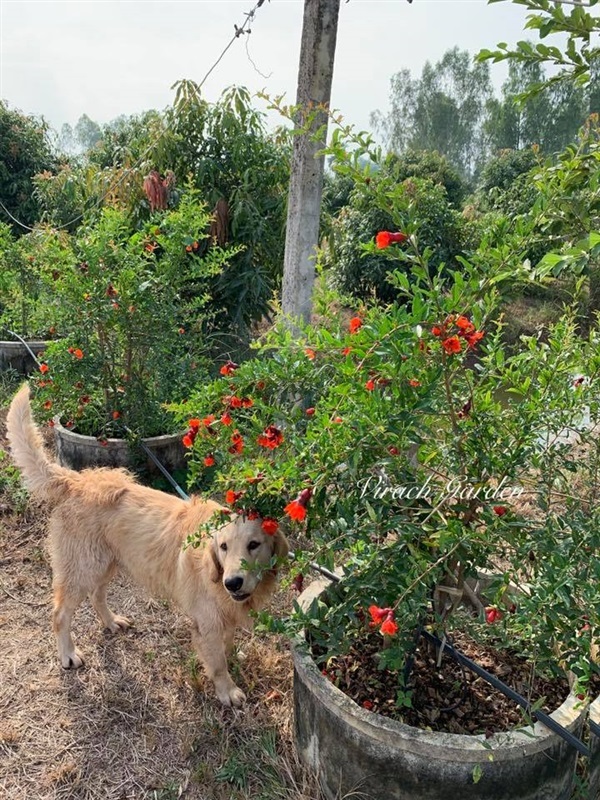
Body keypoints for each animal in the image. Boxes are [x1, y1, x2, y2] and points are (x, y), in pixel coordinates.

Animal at [6, 386, 288, 708]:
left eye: (254, 544)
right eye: (224, 547)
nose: (232, 583)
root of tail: (77, 480)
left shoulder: (224, 615)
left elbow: (227, 645)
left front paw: (233, 658)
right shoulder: (207, 621)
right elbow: (216, 663)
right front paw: (227, 690)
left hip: (107, 564)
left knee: (97, 597)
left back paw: (111, 622)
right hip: (82, 569)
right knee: (60, 614)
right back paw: (68, 654)